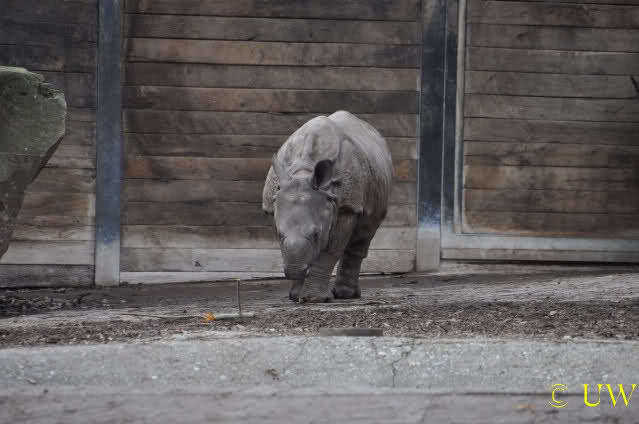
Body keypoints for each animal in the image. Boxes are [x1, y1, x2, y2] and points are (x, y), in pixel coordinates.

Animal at [262, 111, 393, 302]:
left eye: (316, 234)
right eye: (279, 234)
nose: (294, 270)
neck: (304, 171)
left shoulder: (347, 207)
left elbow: (330, 251)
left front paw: (314, 298)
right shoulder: (274, 206)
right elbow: (296, 249)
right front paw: (296, 296)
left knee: (364, 234)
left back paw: (346, 295)